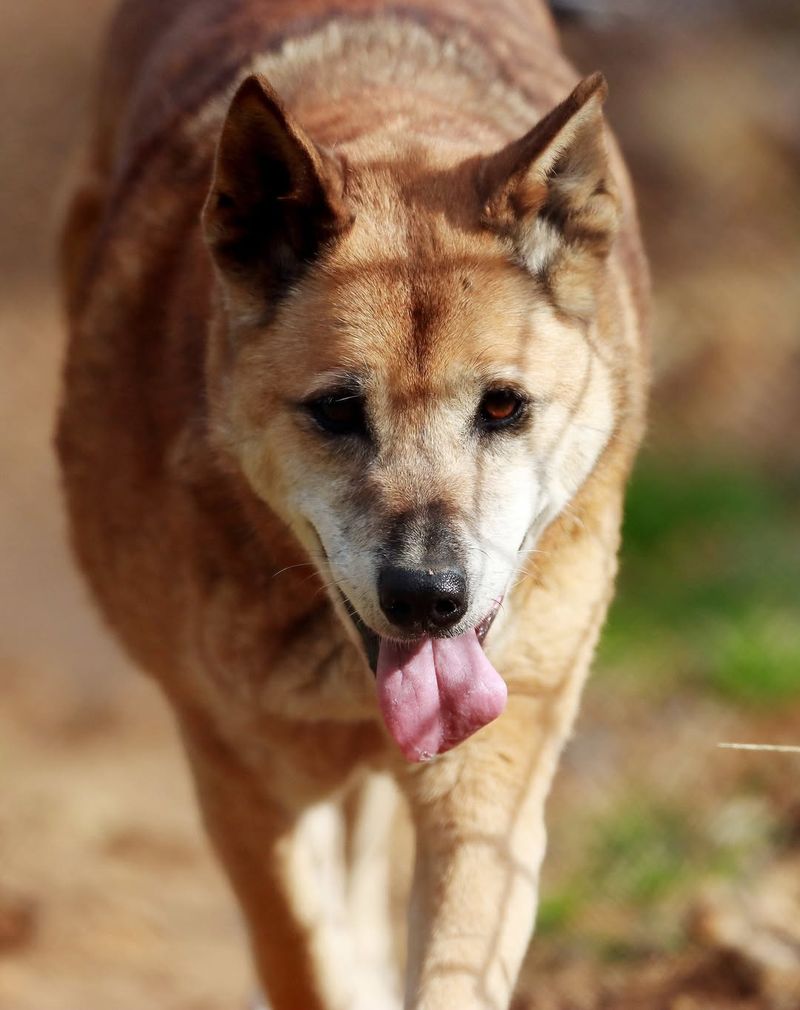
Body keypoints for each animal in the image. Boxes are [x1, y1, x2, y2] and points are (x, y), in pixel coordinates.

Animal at [59, 1, 650, 1010]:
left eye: (504, 407)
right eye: (337, 410)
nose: (428, 598)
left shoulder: (491, 774)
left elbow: (454, 963)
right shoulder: (238, 773)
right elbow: (304, 953)